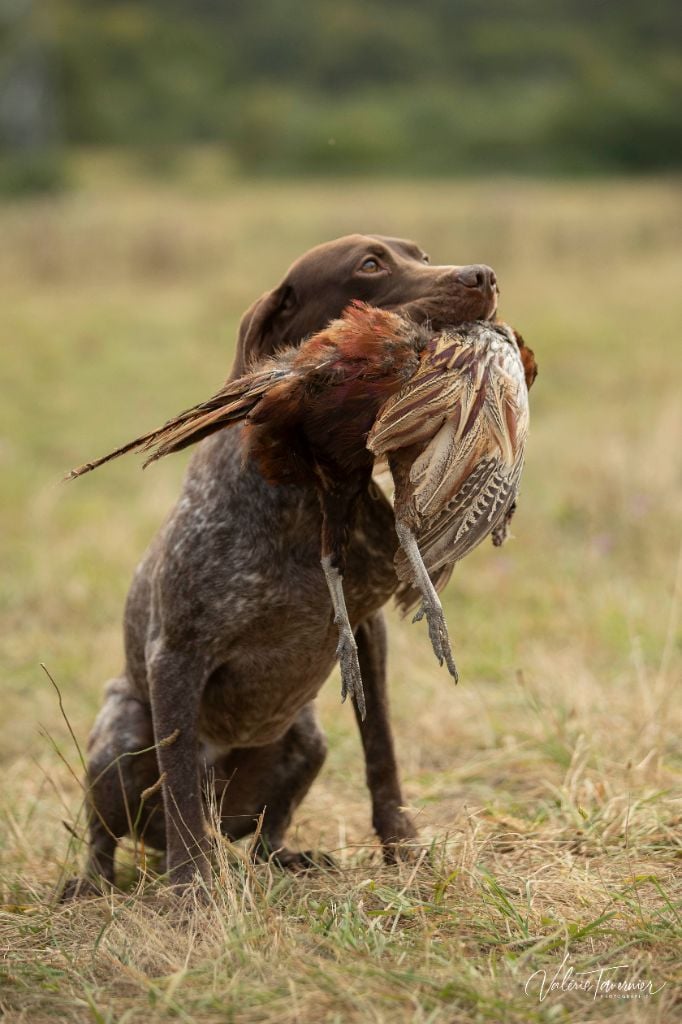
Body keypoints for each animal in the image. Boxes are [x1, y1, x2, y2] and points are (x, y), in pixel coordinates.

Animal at [63, 235, 497, 892]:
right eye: (370, 265)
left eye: (420, 255)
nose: (485, 276)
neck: (304, 494)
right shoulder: (174, 656)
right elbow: (180, 782)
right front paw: (190, 891)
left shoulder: (367, 631)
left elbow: (382, 750)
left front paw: (403, 845)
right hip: (121, 732)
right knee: (112, 834)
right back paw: (99, 882)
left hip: (306, 735)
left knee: (265, 834)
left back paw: (287, 857)